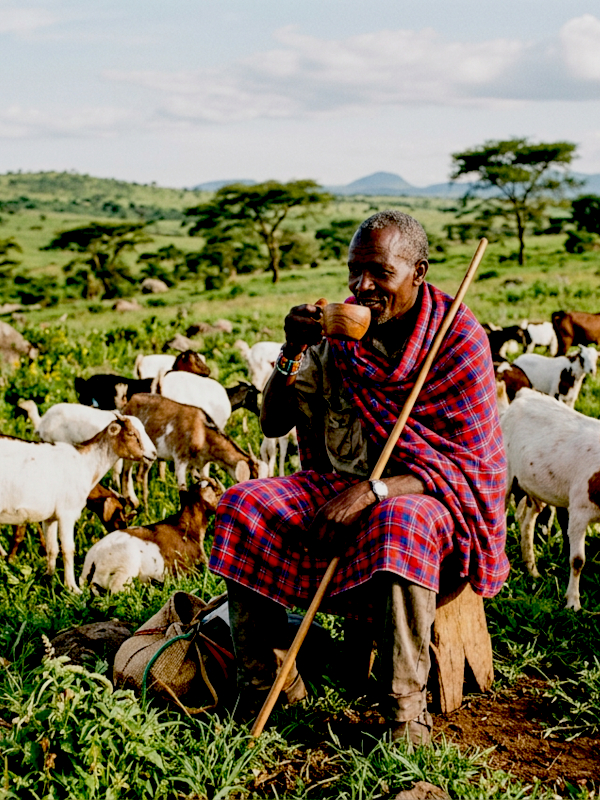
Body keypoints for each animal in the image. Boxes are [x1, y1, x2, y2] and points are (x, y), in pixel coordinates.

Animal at [0, 419, 156, 592]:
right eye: (131, 433)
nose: (154, 453)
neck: (85, 463)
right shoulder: (67, 513)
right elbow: (68, 549)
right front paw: (72, 588)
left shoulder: (51, 517)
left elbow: (52, 548)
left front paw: (49, 580)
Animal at [500, 387, 600, 610]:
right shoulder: (579, 509)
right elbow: (577, 560)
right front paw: (573, 602)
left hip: (535, 485)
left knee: (527, 523)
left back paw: (532, 569)